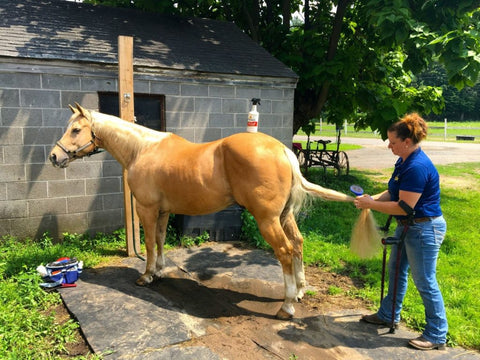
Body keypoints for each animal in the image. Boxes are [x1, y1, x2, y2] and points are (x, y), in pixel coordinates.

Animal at [49, 103, 378, 318]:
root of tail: (283, 150)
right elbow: (160, 241)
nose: (54, 157)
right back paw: (298, 290)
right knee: (297, 244)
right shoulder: (163, 211)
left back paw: (286, 306)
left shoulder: (147, 208)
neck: (143, 149)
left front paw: (147, 276)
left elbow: (149, 243)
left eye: (76, 129)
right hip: (285, 216)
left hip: (267, 220)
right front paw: (160, 271)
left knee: (285, 251)